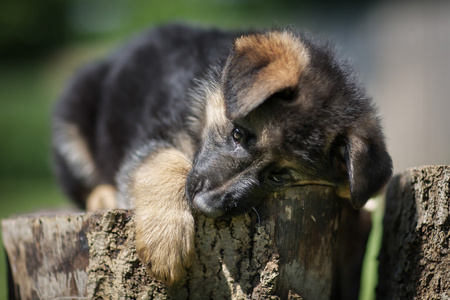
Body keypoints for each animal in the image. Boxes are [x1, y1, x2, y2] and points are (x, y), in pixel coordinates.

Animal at [51, 23, 390, 284]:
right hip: (73, 113)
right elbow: (162, 162)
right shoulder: (152, 135)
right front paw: (165, 238)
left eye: (279, 176)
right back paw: (103, 196)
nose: (205, 206)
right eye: (237, 134)